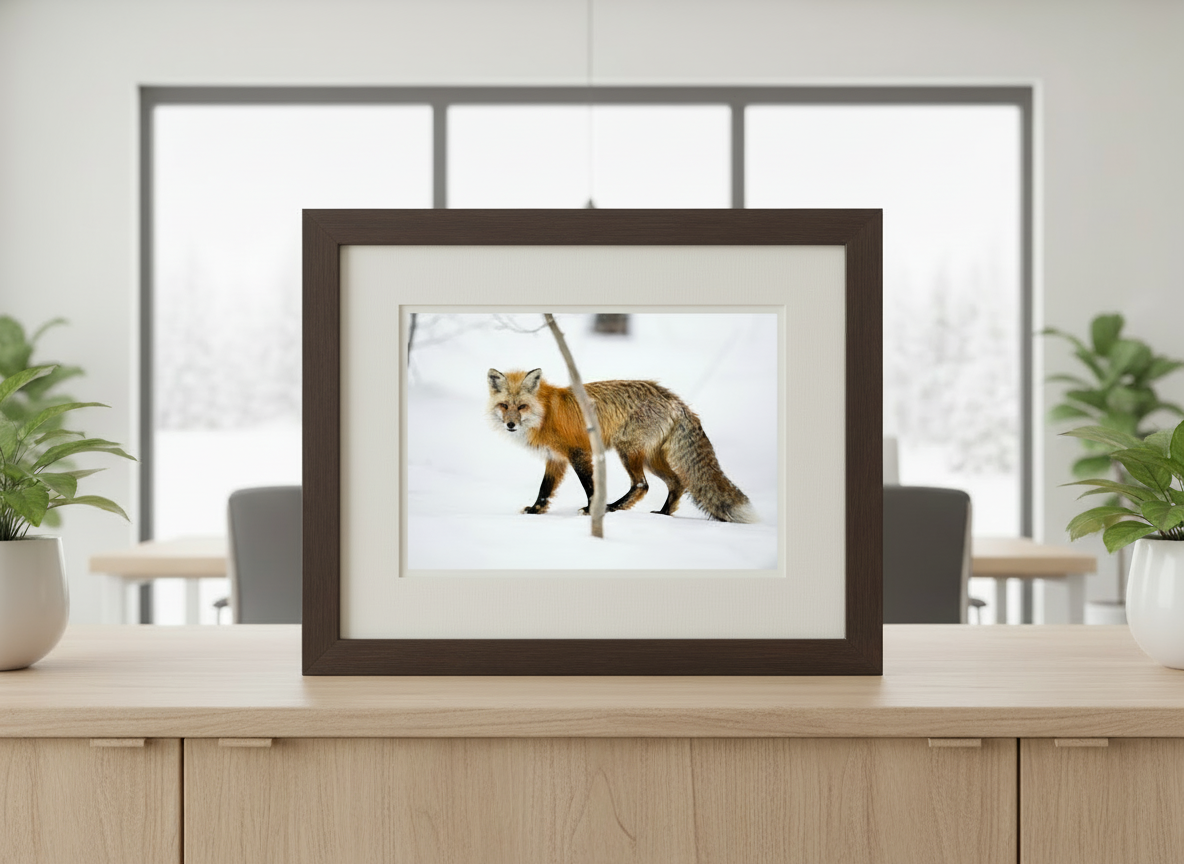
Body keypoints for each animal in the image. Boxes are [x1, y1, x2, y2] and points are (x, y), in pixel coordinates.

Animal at [486, 367, 758, 523]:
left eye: (522, 406)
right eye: (505, 406)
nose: (510, 424)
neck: (546, 413)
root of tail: (675, 400)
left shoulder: (579, 453)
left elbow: (590, 486)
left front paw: (593, 511)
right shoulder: (556, 458)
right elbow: (544, 489)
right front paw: (535, 511)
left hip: (628, 451)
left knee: (641, 485)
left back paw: (614, 507)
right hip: (652, 459)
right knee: (676, 483)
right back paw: (663, 514)